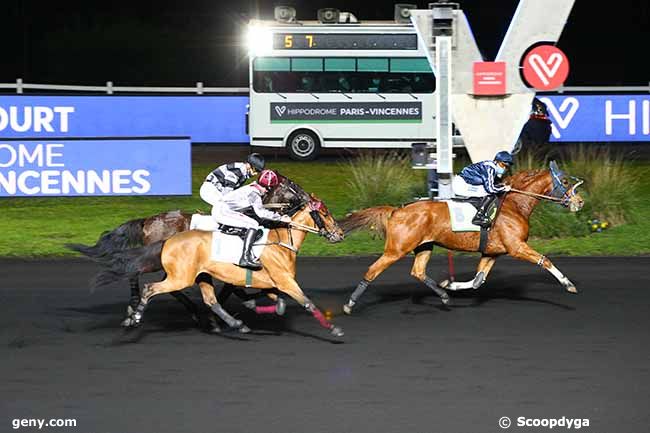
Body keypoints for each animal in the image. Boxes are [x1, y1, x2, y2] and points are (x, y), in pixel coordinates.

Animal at [66, 172, 308, 328]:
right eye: (293, 185)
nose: (308, 199)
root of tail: (147, 220)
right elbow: (233, 286)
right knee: (139, 273)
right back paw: (138, 308)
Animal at [93, 192, 346, 338]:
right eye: (324, 213)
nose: (340, 234)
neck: (279, 240)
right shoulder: (285, 282)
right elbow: (307, 303)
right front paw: (334, 328)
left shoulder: (272, 283)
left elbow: (278, 304)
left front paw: (251, 307)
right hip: (180, 276)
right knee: (150, 286)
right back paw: (135, 315)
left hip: (198, 275)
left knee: (209, 300)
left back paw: (235, 323)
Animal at [340, 160, 584, 312]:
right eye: (565, 182)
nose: (580, 202)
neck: (515, 205)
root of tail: (397, 210)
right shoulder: (516, 247)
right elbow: (545, 260)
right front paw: (568, 284)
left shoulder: (492, 252)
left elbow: (478, 281)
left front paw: (451, 285)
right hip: (396, 249)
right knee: (372, 270)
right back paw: (350, 304)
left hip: (424, 246)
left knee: (418, 271)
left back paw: (444, 296)